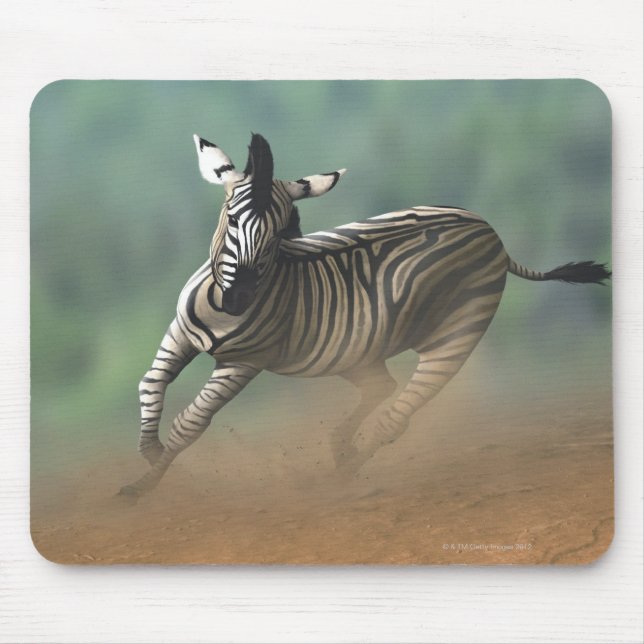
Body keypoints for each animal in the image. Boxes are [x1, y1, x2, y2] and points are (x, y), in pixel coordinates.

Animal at [119, 132, 610, 499]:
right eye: (232, 218)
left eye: (280, 232)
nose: (240, 299)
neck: (221, 306)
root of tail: (493, 236)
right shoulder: (180, 334)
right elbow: (150, 384)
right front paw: (149, 450)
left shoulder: (243, 363)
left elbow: (190, 423)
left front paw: (143, 486)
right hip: (355, 351)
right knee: (382, 387)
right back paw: (340, 451)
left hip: (456, 336)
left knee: (398, 413)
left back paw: (343, 474)